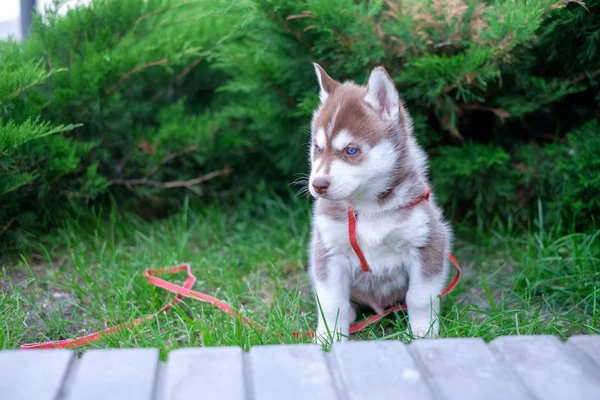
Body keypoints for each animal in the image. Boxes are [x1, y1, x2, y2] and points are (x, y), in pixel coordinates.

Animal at [308, 64, 452, 342]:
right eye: (318, 148)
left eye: (351, 150)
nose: (318, 185)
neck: (369, 208)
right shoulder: (329, 251)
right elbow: (331, 302)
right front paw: (329, 336)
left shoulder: (427, 242)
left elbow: (420, 297)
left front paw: (422, 331)